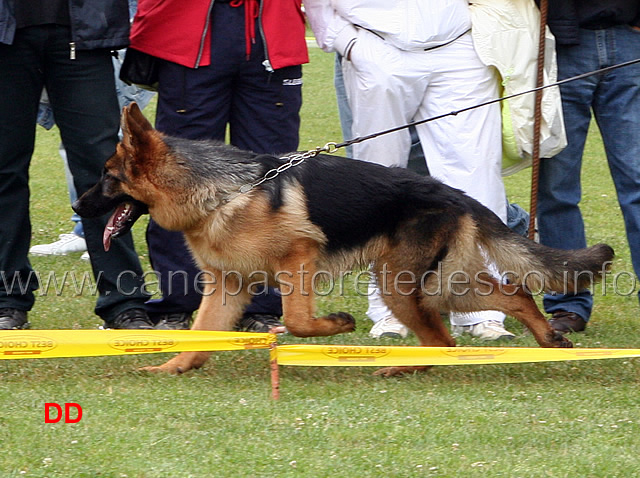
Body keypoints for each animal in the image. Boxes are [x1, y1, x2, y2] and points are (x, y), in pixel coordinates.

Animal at [75, 104, 616, 378]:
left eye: (106, 179)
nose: (78, 209)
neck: (223, 189)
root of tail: (453, 192)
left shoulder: (298, 259)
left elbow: (297, 319)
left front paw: (338, 324)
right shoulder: (227, 286)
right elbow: (203, 332)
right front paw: (175, 366)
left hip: (406, 286)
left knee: (456, 327)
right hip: (435, 285)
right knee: (507, 296)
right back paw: (538, 339)